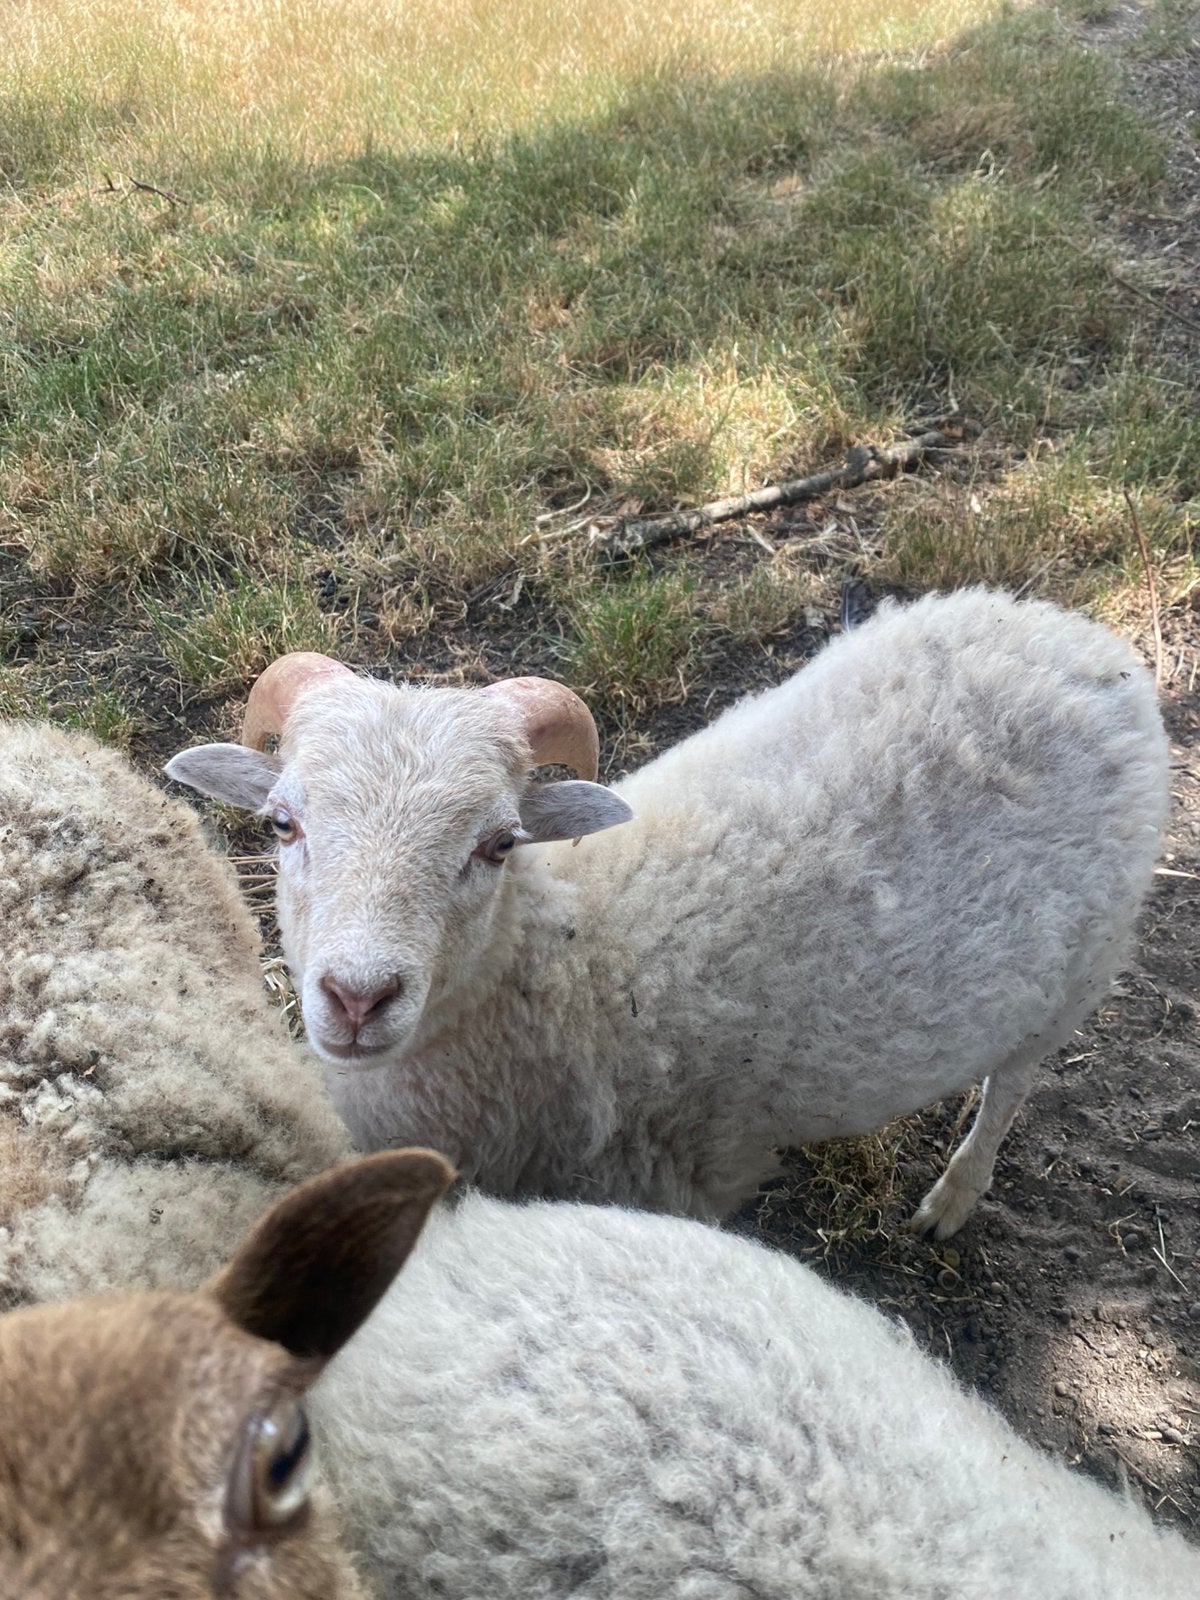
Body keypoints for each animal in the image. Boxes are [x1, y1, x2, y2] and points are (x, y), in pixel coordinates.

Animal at [166, 587, 1171, 1236]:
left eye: (500, 843)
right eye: (283, 822)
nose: (357, 997)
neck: (568, 970)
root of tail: (1081, 640)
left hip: (1082, 967)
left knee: (1012, 1086)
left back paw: (953, 1201)